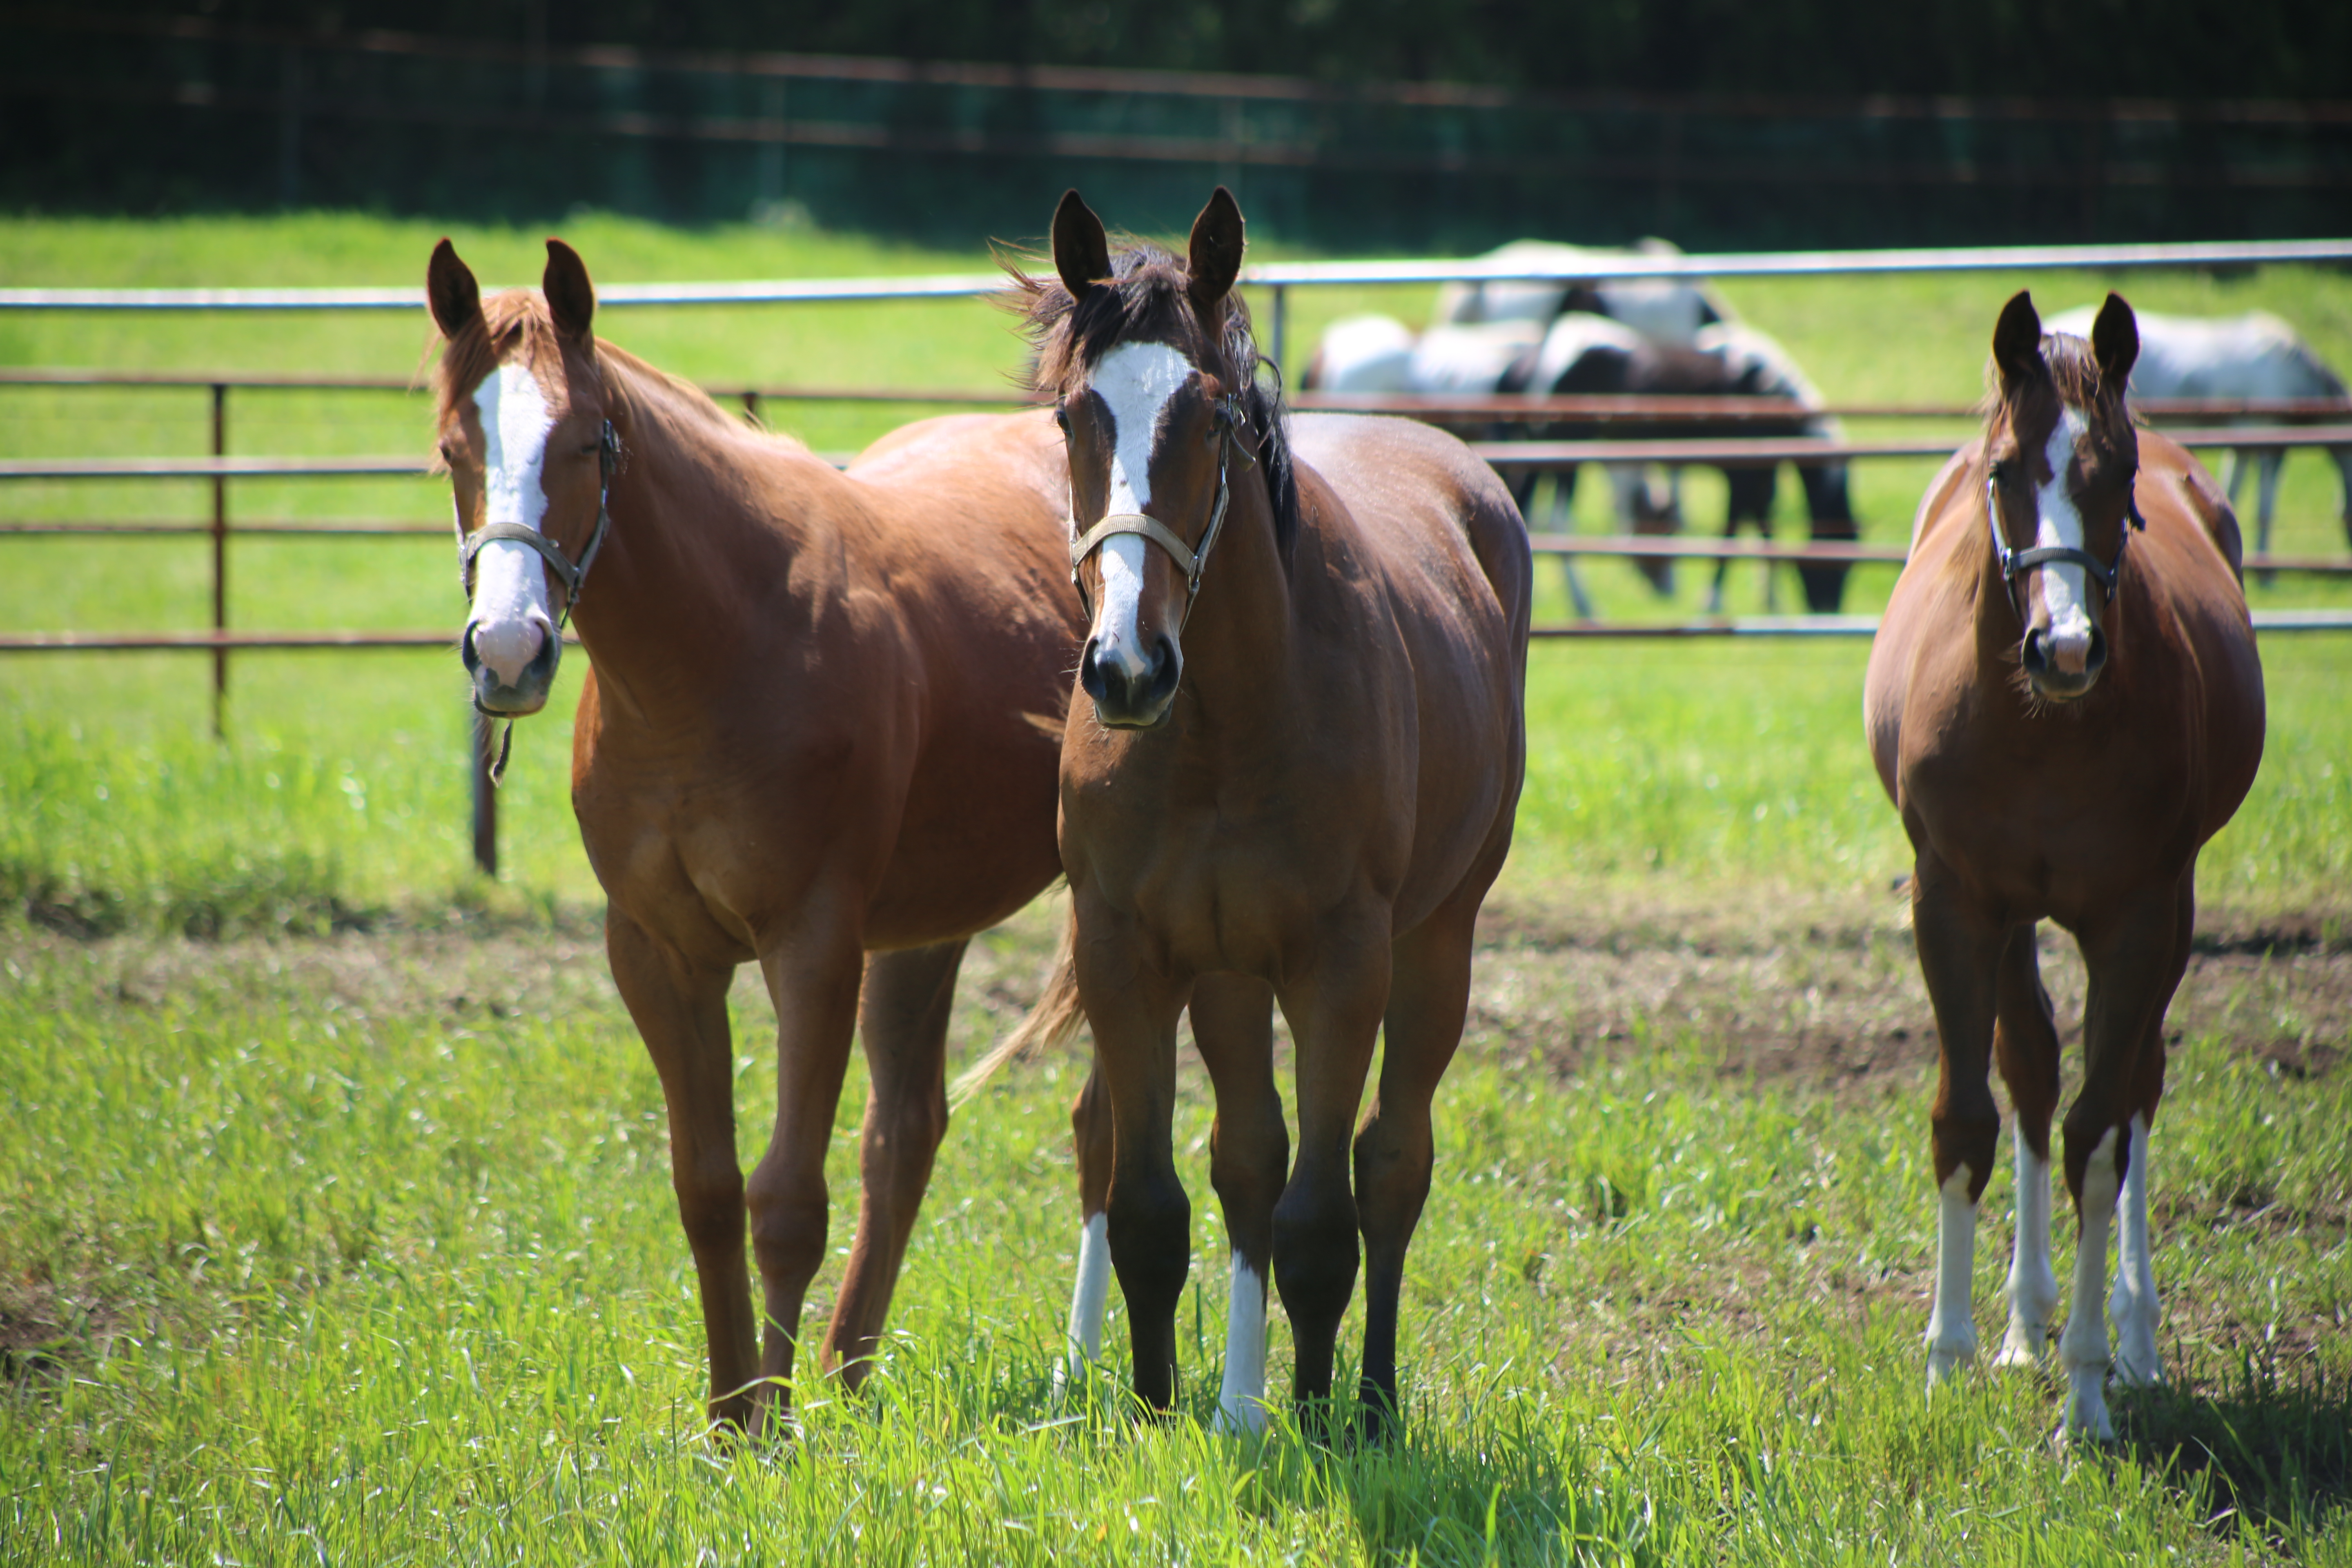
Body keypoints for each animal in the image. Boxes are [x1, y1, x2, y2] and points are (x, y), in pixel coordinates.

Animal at [428, 236, 1077, 1439]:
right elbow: (708, 1190)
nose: (507, 651)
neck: (722, 646)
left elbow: (784, 1200)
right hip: (928, 928)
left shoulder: (811, 948)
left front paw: (776, 1435)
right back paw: (847, 1378)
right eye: (454, 448)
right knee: (905, 1133)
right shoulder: (659, 955)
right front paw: (733, 1419)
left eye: (585, 441)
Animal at [969, 193, 1524, 1448]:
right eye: (1072, 413)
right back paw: (1234, 1402)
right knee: (1244, 1158)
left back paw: (1361, 1402)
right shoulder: (1128, 952)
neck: (1222, 731)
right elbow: (1151, 1202)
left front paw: (1316, 1423)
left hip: (1436, 942)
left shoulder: (1340, 964)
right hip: (1224, 973)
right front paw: (1154, 1406)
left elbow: (1324, 1218)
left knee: (1390, 1165)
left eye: (1212, 417)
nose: (1126, 668)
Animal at [1862, 288, 2267, 1439]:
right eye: (2006, 470)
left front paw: (2085, 1391)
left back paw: (2130, 1340)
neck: (2039, 731)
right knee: (2035, 1069)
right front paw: (1949, 1360)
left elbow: (2098, 1136)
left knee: (2131, 1095)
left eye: (2117, 474)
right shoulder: (1956, 902)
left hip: (2161, 920)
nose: (2067, 649)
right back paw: (2017, 1327)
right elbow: (1970, 1114)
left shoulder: (2138, 918)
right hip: (2009, 922)